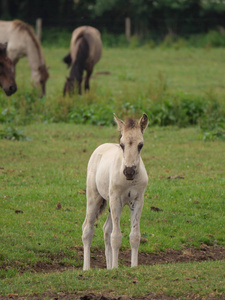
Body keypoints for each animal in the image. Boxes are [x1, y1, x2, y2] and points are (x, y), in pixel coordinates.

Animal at [81, 113, 149, 270]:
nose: (129, 171)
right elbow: (116, 236)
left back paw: (109, 266)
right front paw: (116, 268)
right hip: (94, 198)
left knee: (106, 229)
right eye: (122, 144)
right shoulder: (116, 199)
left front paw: (132, 267)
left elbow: (134, 236)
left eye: (140, 145)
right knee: (87, 229)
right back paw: (86, 268)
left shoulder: (138, 201)